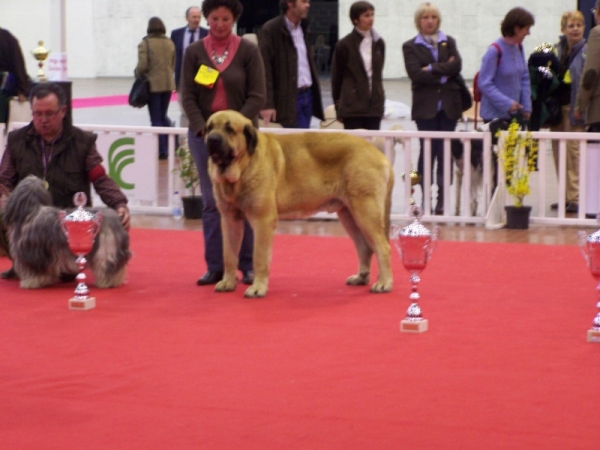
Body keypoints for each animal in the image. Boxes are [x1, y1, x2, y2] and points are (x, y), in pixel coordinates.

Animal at [204, 109, 396, 298]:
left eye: (230, 129)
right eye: (209, 128)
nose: (212, 139)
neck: (243, 166)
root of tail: (380, 155)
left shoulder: (263, 221)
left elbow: (259, 257)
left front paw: (257, 288)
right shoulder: (229, 220)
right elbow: (229, 254)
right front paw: (228, 282)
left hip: (365, 211)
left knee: (383, 246)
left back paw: (384, 283)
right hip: (348, 214)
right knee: (364, 247)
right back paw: (361, 277)